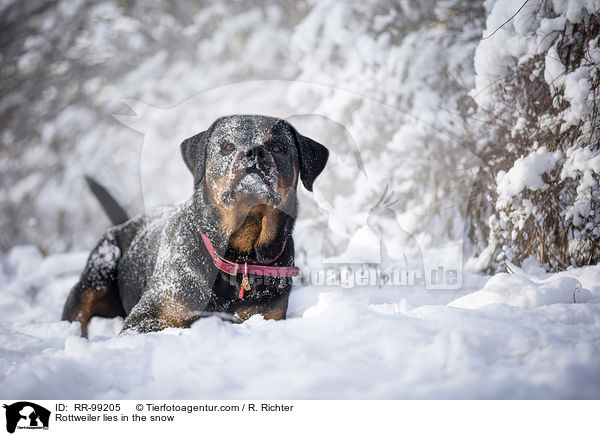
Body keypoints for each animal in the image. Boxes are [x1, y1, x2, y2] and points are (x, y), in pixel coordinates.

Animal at [62, 114, 328, 336]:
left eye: (278, 147)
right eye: (228, 146)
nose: (255, 152)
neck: (240, 255)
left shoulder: (268, 314)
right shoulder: (145, 319)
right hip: (95, 276)